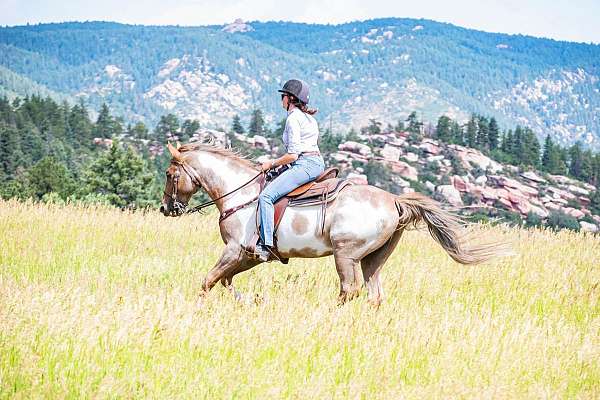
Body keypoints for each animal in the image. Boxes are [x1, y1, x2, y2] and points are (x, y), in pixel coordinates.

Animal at [159, 142, 506, 304]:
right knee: (374, 295)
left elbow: (208, 281)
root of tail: (395, 201)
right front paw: (246, 302)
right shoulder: (249, 256)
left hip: (346, 255)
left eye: (169, 173)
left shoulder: (234, 250)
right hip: (372, 260)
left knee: (349, 290)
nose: (167, 208)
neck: (240, 193)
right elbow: (226, 281)